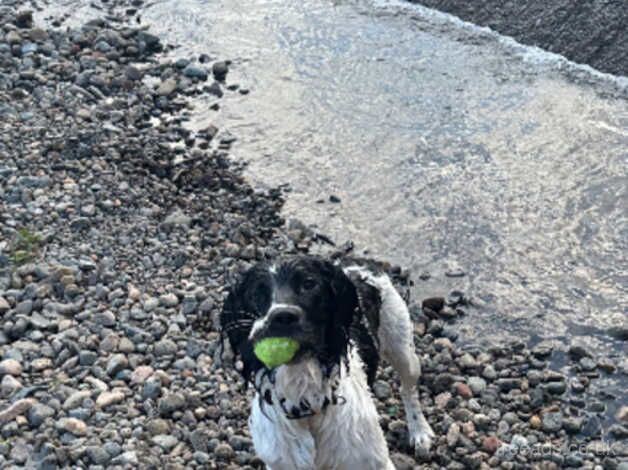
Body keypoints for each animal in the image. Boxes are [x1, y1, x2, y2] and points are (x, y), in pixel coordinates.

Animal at [220, 255, 432, 468]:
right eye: (256, 293)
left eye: (308, 284)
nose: (282, 316)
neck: (307, 403)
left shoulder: (375, 460)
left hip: (403, 350)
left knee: (408, 389)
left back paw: (419, 431)